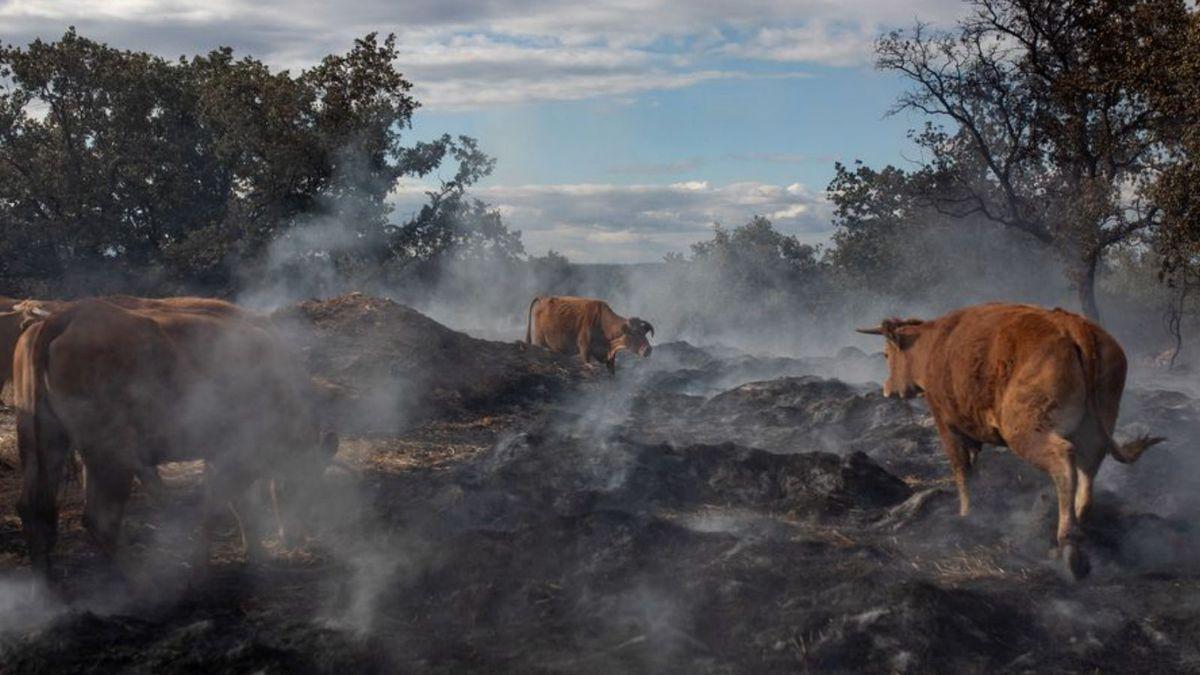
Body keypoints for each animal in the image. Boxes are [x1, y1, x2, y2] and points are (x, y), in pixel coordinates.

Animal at [12, 296, 338, 576]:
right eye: (305, 481)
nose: (297, 537)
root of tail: (68, 315)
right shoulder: (234, 455)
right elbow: (218, 506)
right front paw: (204, 564)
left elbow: (237, 505)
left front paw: (256, 555)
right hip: (111, 457)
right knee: (100, 519)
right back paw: (140, 581)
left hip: (47, 444)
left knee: (35, 509)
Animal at [528, 294, 657, 372]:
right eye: (633, 333)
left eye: (644, 333)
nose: (648, 350)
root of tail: (543, 298)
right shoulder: (584, 349)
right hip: (539, 341)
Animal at [859, 302, 1166, 576]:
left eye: (886, 355)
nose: (887, 389)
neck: (933, 345)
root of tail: (1071, 325)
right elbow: (974, 467)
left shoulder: (947, 424)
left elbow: (961, 470)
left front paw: (966, 513)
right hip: (1095, 427)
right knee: (1088, 466)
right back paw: (1081, 522)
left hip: (1026, 431)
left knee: (1064, 462)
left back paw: (1067, 541)